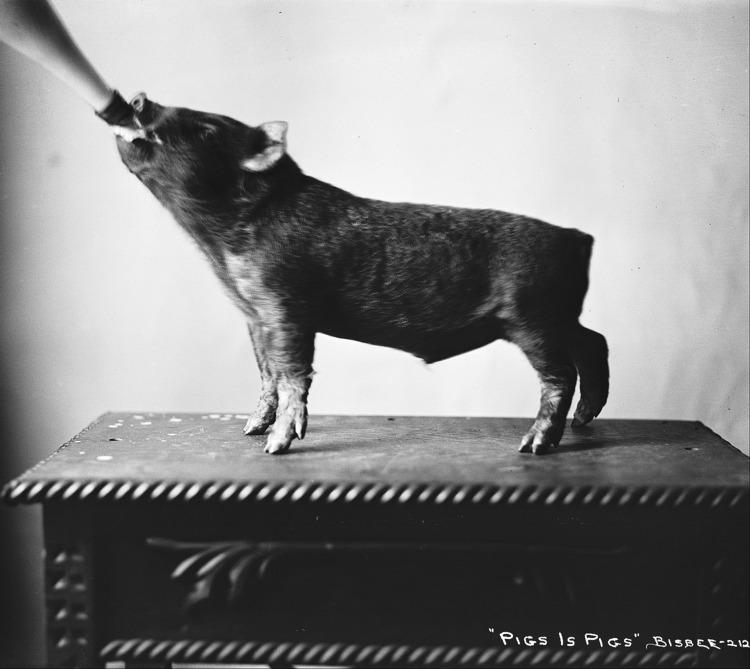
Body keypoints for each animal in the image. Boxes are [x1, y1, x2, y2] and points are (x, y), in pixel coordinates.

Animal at [113, 93, 609, 455]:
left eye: (207, 129)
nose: (139, 99)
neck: (220, 247)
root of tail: (578, 238)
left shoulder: (286, 305)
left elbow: (292, 372)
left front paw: (274, 448)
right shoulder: (254, 316)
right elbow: (266, 372)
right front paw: (251, 430)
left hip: (532, 316)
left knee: (561, 374)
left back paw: (532, 447)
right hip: (558, 316)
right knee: (594, 341)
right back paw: (585, 419)